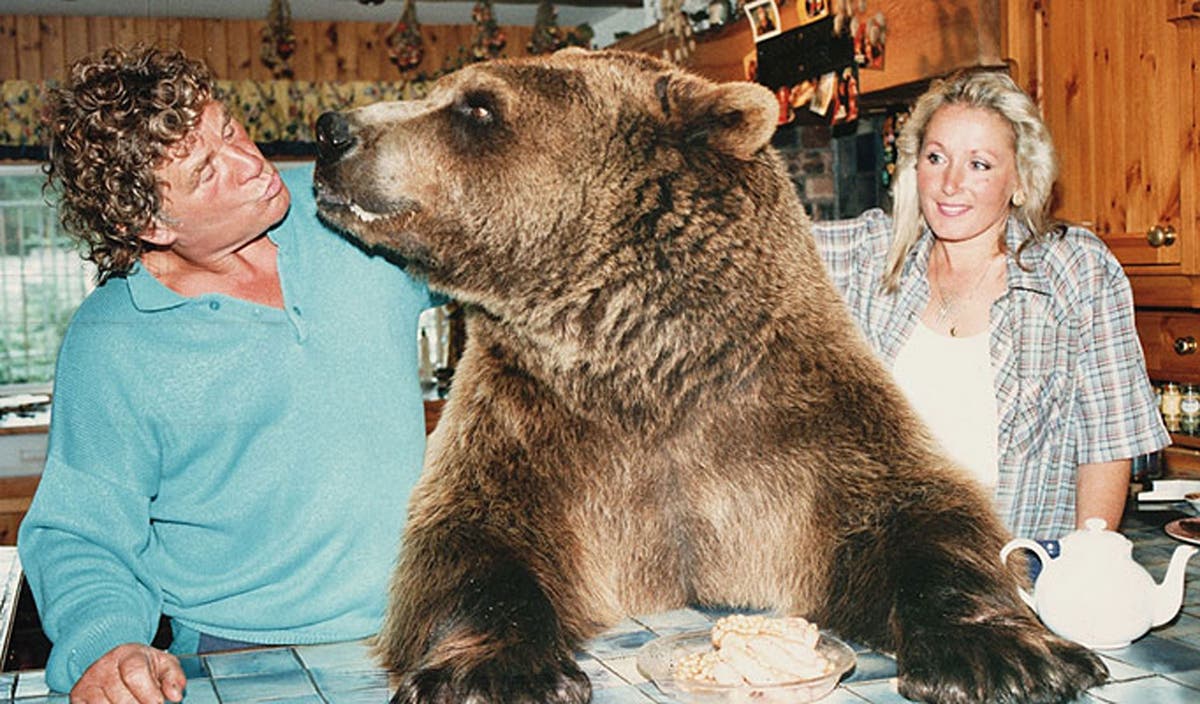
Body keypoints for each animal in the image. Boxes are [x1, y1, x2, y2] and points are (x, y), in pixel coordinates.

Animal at [311, 49, 1108, 704]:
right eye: (447, 92)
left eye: (476, 105)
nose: (330, 130)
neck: (644, 362)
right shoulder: (534, 421)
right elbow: (468, 538)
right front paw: (498, 672)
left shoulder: (789, 415)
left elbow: (916, 511)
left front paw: (1003, 656)